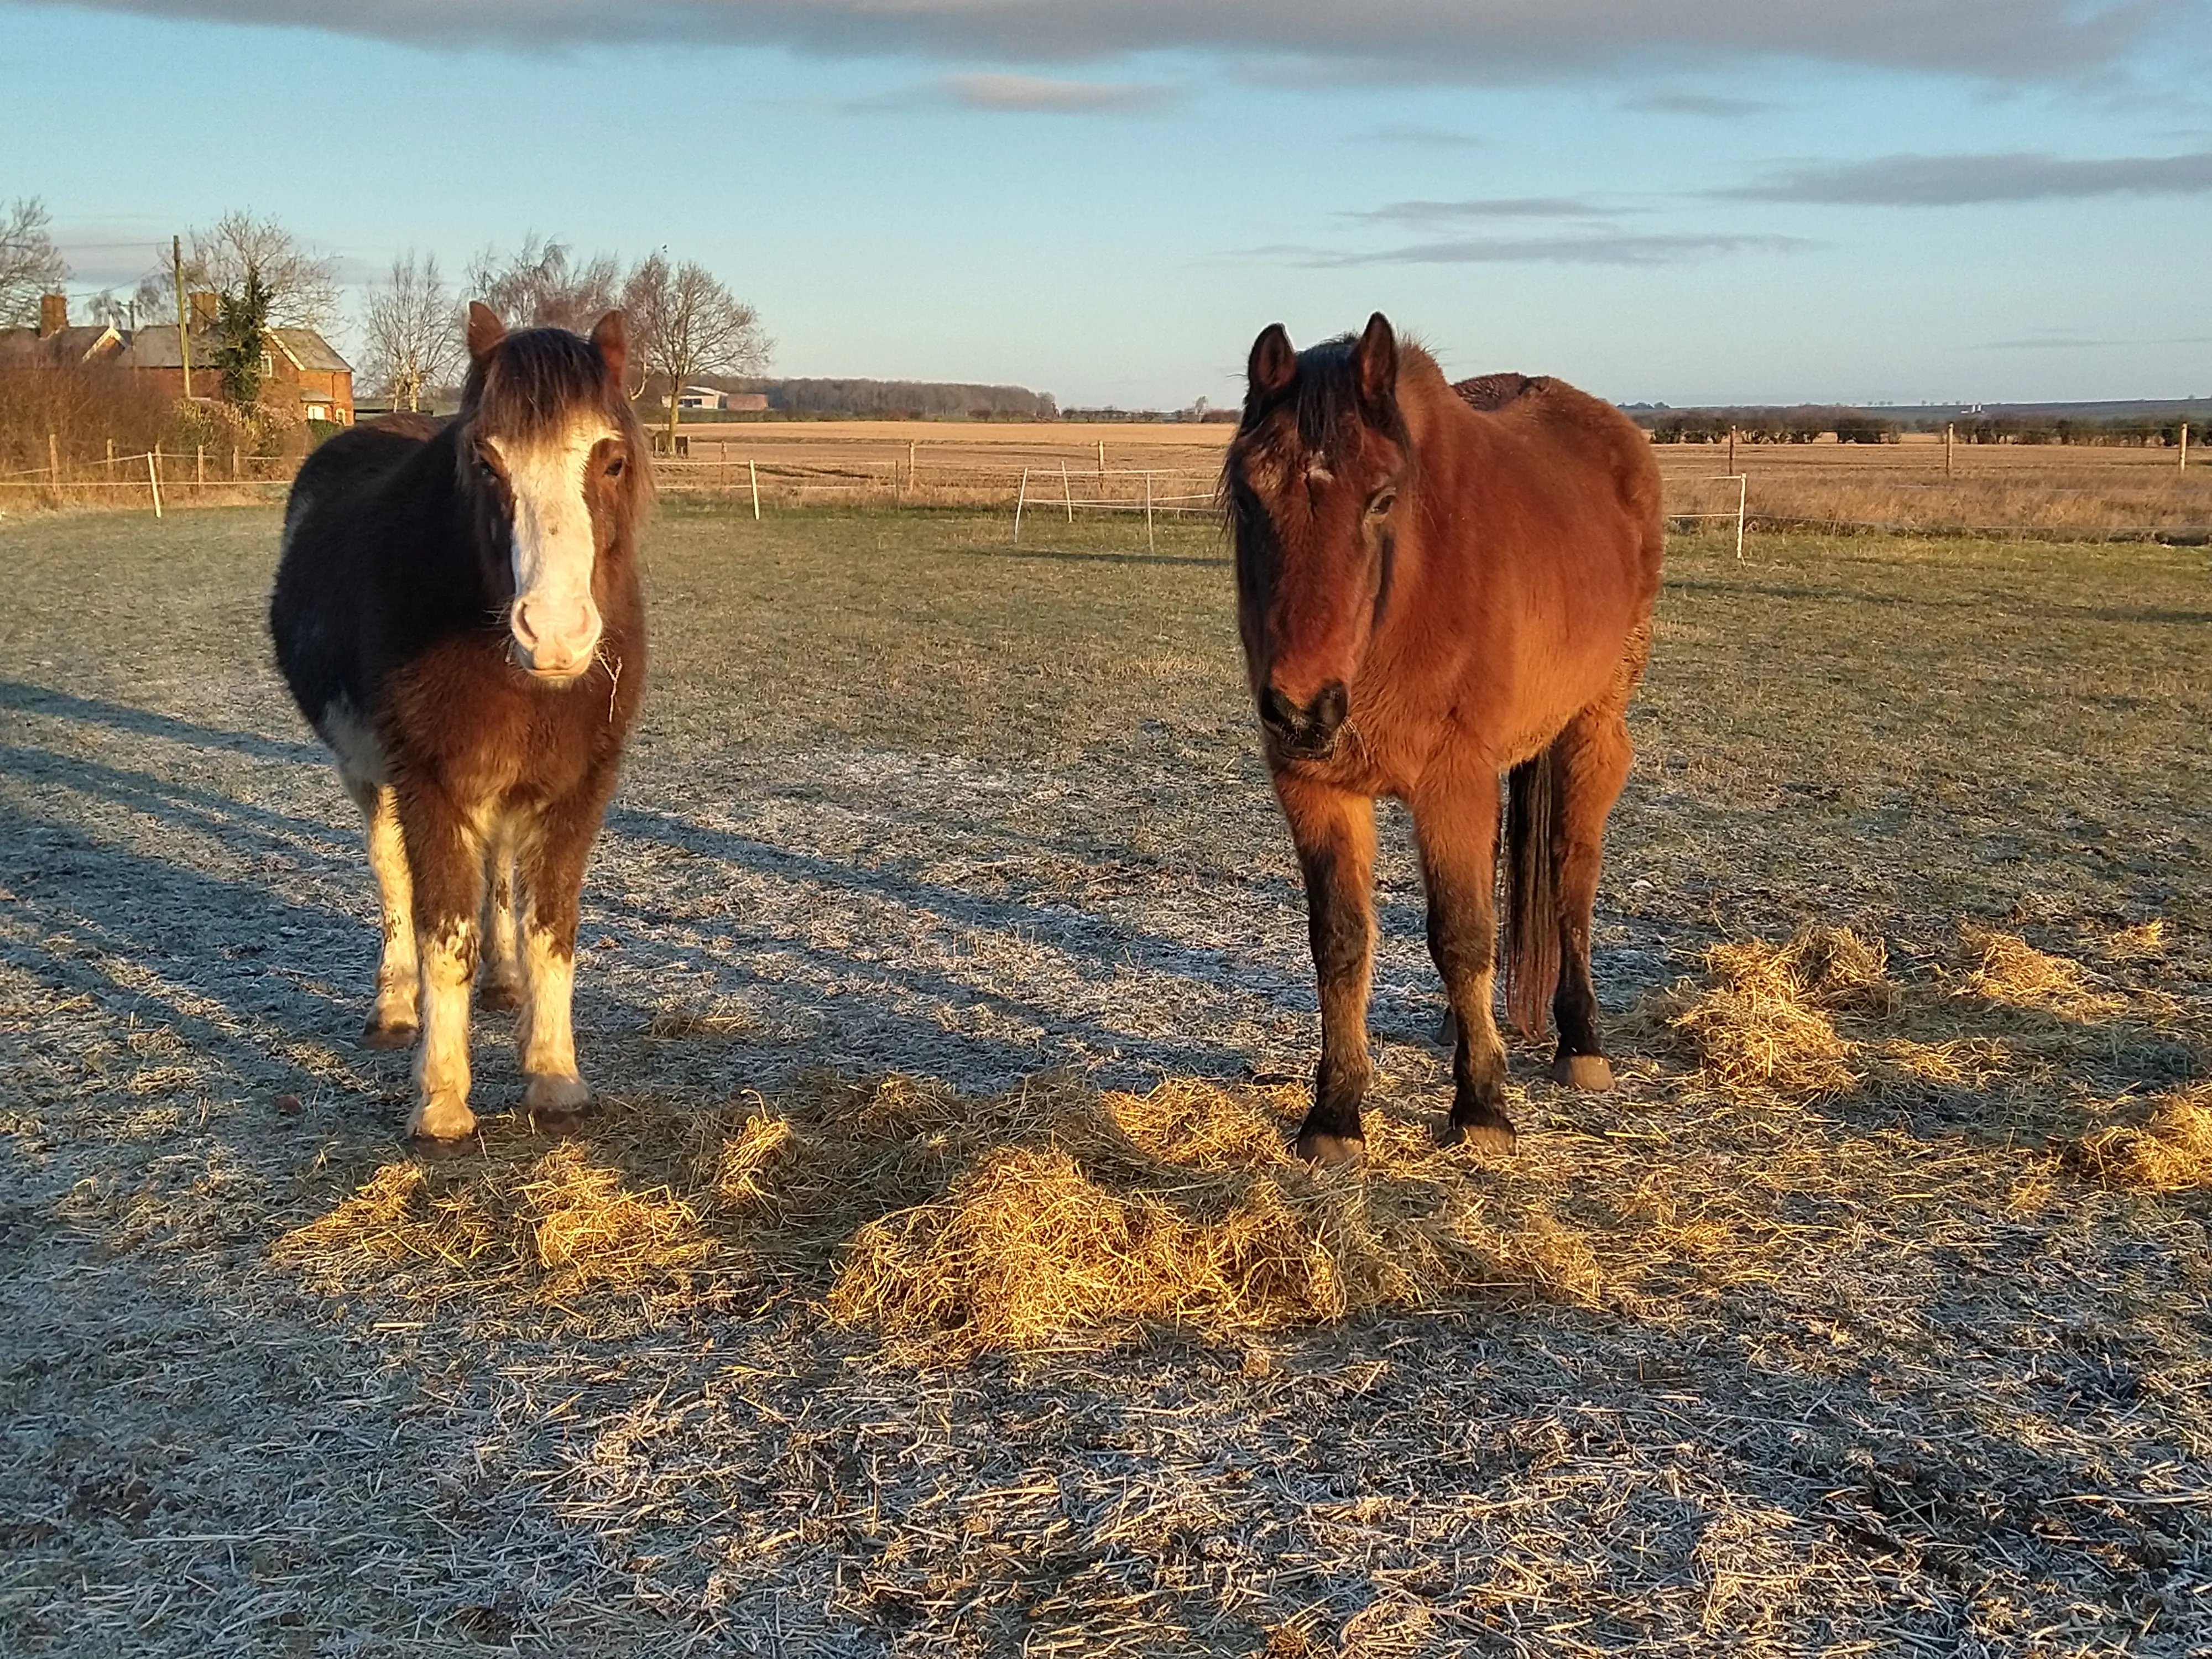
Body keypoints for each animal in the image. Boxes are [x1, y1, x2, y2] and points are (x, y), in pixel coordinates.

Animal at [270, 303, 649, 1140]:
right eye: (487, 464)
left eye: (610, 462)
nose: (555, 634)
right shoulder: (430, 785)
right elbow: (442, 930)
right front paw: (443, 1097)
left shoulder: (577, 790)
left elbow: (551, 932)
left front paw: (554, 1076)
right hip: (370, 775)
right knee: (391, 877)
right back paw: (393, 1007)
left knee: (500, 873)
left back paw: (503, 984)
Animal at [1222, 313, 1662, 1166]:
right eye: (1250, 496)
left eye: (1382, 499)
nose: (1301, 710)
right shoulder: (1316, 790)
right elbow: (1342, 943)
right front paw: (1335, 1112)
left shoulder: (1452, 782)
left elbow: (1461, 935)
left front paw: (1483, 1105)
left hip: (1590, 730)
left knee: (1572, 873)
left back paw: (1581, 1041)